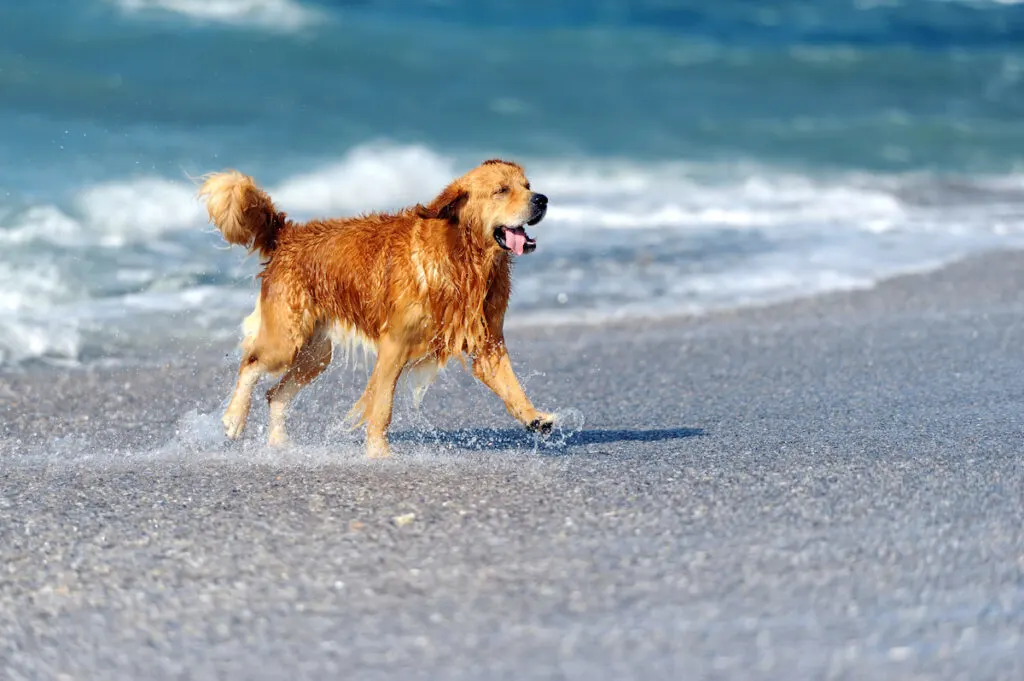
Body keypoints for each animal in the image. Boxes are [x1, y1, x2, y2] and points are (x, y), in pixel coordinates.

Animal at [197, 159, 552, 456]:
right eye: (501, 190)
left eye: (527, 185)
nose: (542, 199)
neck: (461, 258)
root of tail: (287, 235)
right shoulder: (395, 345)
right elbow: (381, 406)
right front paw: (379, 453)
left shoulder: (488, 342)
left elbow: (511, 385)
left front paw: (535, 417)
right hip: (286, 341)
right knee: (251, 364)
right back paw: (233, 419)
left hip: (315, 354)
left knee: (275, 394)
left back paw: (279, 444)